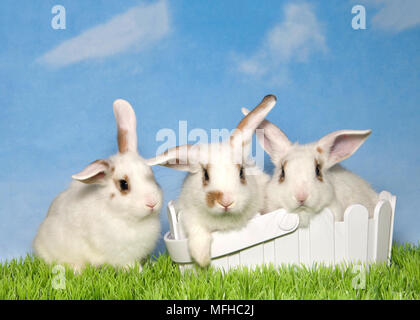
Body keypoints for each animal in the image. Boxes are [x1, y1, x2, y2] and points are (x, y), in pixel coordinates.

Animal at [32, 99, 163, 272]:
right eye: (124, 184)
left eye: (151, 174)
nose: (152, 203)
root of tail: (37, 243)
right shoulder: (121, 255)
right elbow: (130, 265)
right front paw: (141, 272)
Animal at [147, 95, 276, 268]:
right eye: (206, 175)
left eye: (241, 172)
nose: (226, 201)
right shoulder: (187, 215)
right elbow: (197, 230)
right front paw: (202, 259)